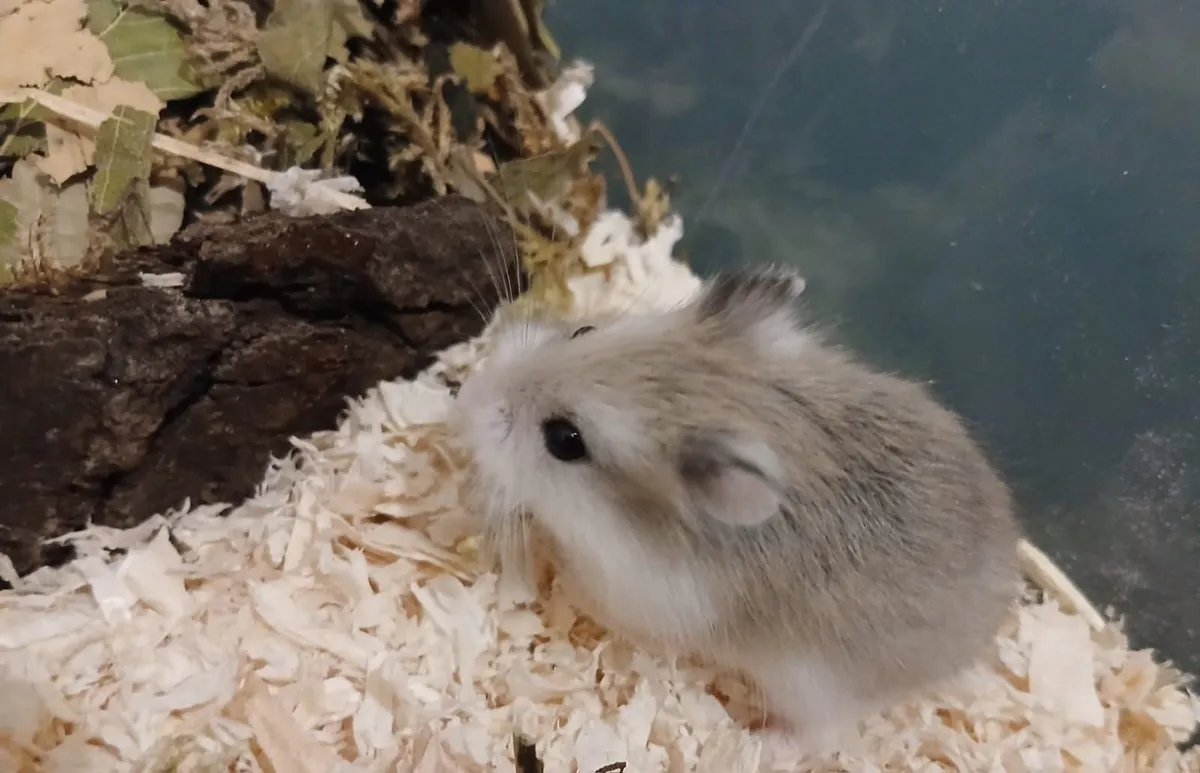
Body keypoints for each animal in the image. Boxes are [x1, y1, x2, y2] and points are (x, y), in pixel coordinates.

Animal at [452, 265, 1022, 748]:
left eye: (565, 440)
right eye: (582, 330)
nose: (468, 396)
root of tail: (987, 628)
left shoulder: (635, 599)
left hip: (812, 687)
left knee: (822, 737)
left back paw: (756, 742)